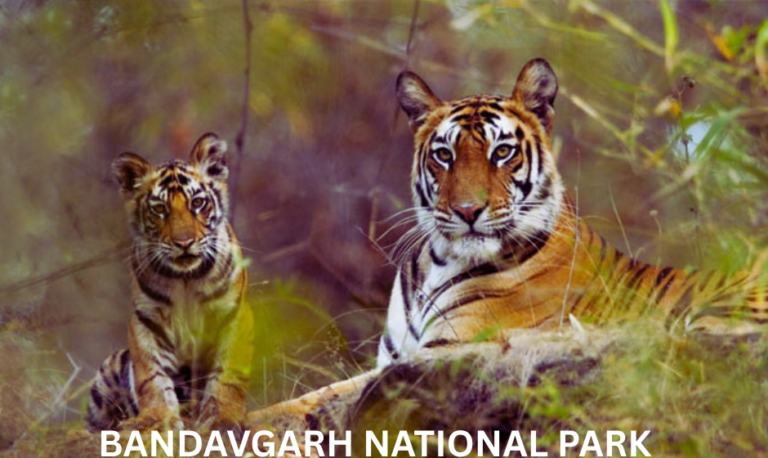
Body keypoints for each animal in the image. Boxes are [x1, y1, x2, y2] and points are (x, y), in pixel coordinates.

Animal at [87, 133, 254, 433]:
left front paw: (223, 418)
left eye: (197, 203)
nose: (184, 242)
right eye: (159, 209)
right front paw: (157, 419)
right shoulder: (146, 321)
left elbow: (228, 376)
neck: (185, 279)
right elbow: (151, 377)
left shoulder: (233, 315)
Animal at [247, 58, 768, 430]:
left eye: (502, 152)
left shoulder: (440, 353)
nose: (468, 211)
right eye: (444, 155)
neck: (437, 261)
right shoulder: (395, 357)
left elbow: (334, 398)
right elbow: (307, 397)